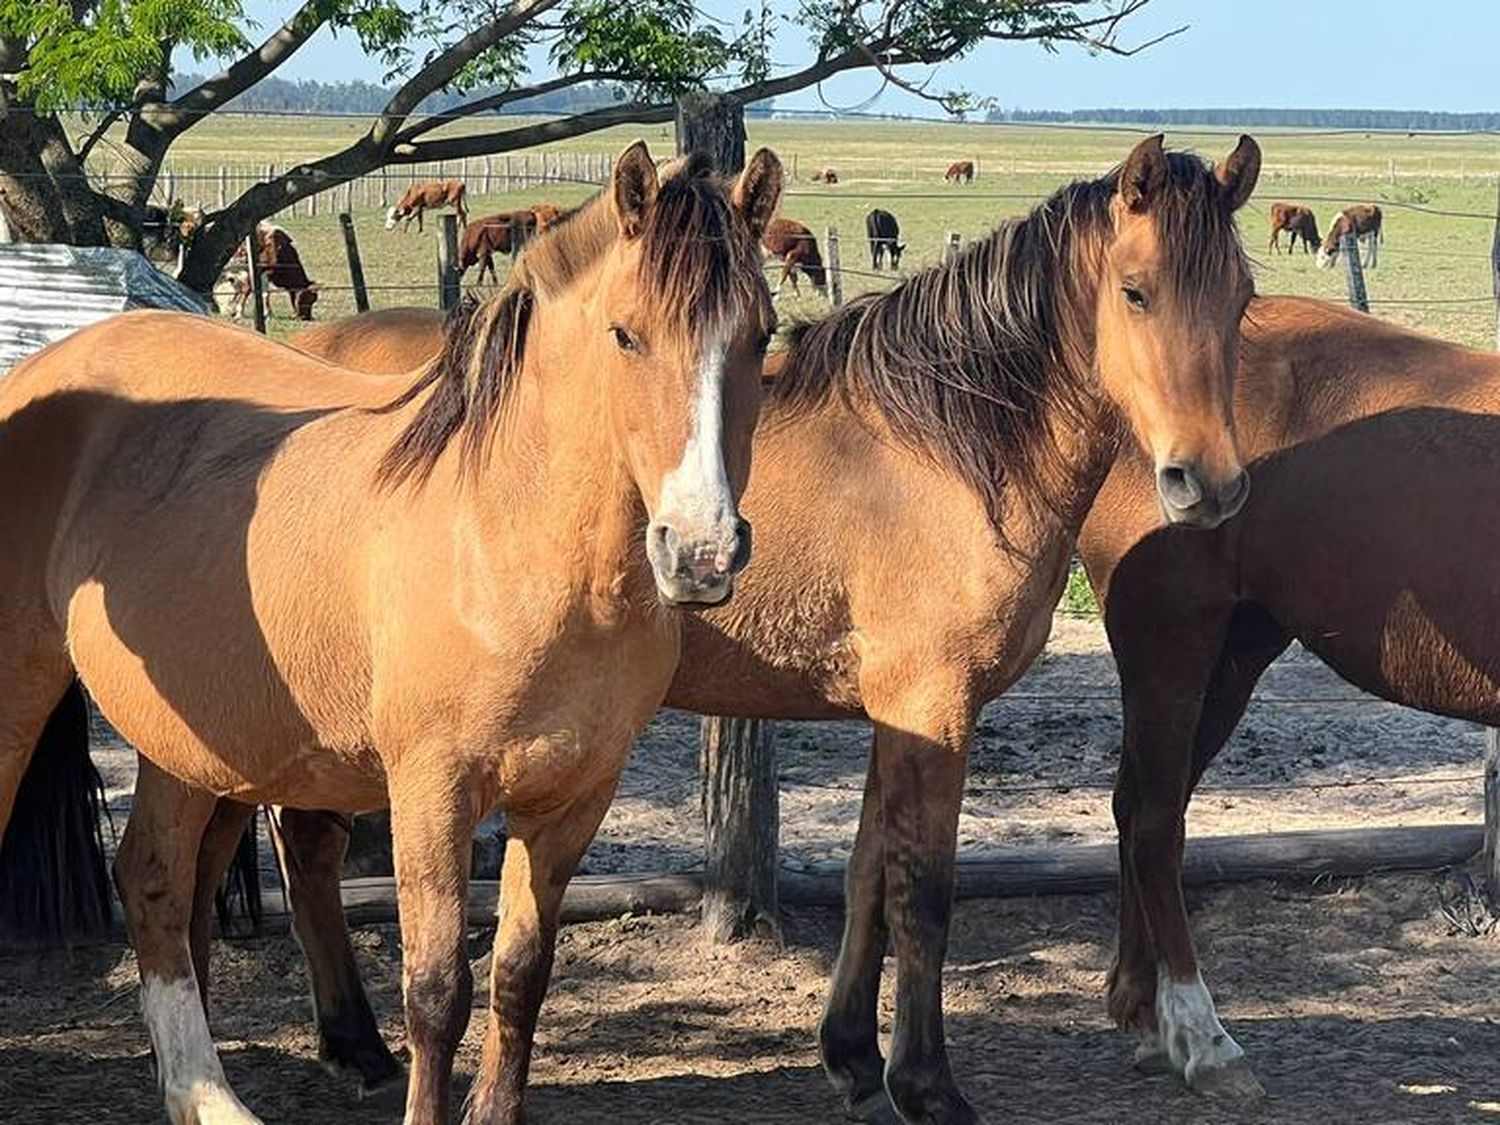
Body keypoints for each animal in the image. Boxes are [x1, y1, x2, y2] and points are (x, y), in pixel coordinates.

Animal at [0, 145, 792, 1125]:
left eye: (760, 335)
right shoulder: (431, 792)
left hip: (193, 737)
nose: (702, 548)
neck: (504, 540)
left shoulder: (573, 799)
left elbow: (521, 974)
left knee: (156, 880)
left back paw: (201, 1091)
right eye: (625, 334)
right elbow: (437, 990)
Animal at [196, 136, 1266, 1122]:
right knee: (300, 850)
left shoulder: (894, 714)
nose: (1206, 483)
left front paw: (850, 1055)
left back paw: (349, 1043)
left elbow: (868, 871)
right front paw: (925, 1084)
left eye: (1243, 298)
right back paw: (346, 1042)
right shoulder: (934, 707)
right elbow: (921, 891)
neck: (941, 447)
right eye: (1136, 291)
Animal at [1074, 295, 1500, 1104]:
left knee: (1137, 805)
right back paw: (1205, 1039)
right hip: (1169, 643)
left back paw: (1145, 1012)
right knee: (1155, 826)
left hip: (1234, 654)